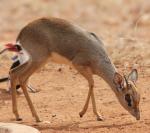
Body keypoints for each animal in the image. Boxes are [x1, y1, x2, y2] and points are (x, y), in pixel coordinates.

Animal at [9, 17, 141, 121]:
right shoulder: (78, 65)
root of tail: (22, 32)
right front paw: (82, 113)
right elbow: (92, 83)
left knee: (14, 73)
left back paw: (18, 115)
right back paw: (37, 117)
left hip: (34, 61)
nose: (138, 116)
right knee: (22, 78)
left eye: (138, 97)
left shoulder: (89, 71)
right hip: (38, 61)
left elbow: (92, 85)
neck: (96, 53)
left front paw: (98, 115)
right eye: (128, 98)